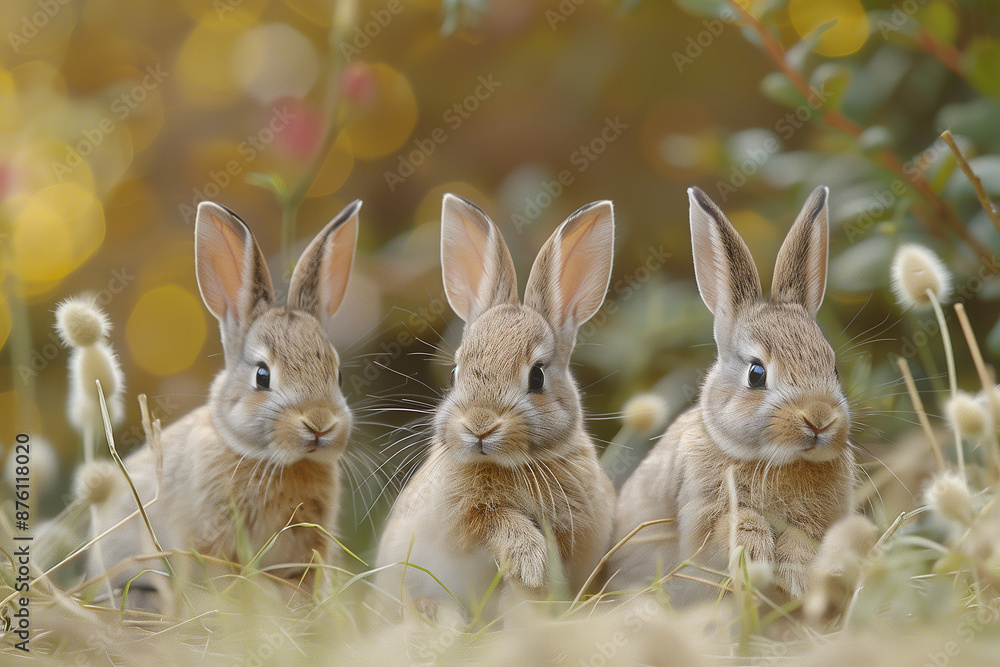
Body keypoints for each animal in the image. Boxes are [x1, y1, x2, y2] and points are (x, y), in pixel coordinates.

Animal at [374, 194, 617, 621]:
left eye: (537, 377)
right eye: (455, 372)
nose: (479, 425)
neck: (513, 465)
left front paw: (528, 588)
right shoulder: (464, 520)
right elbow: (496, 524)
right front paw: (530, 562)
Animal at [607, 186, 856, 604]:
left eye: (834, 368)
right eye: (756, 374)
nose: (819, 418)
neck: (776, 461)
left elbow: (803, 537)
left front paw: (798, 576)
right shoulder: (702, 512)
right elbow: (734, 525)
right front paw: (754, 559)